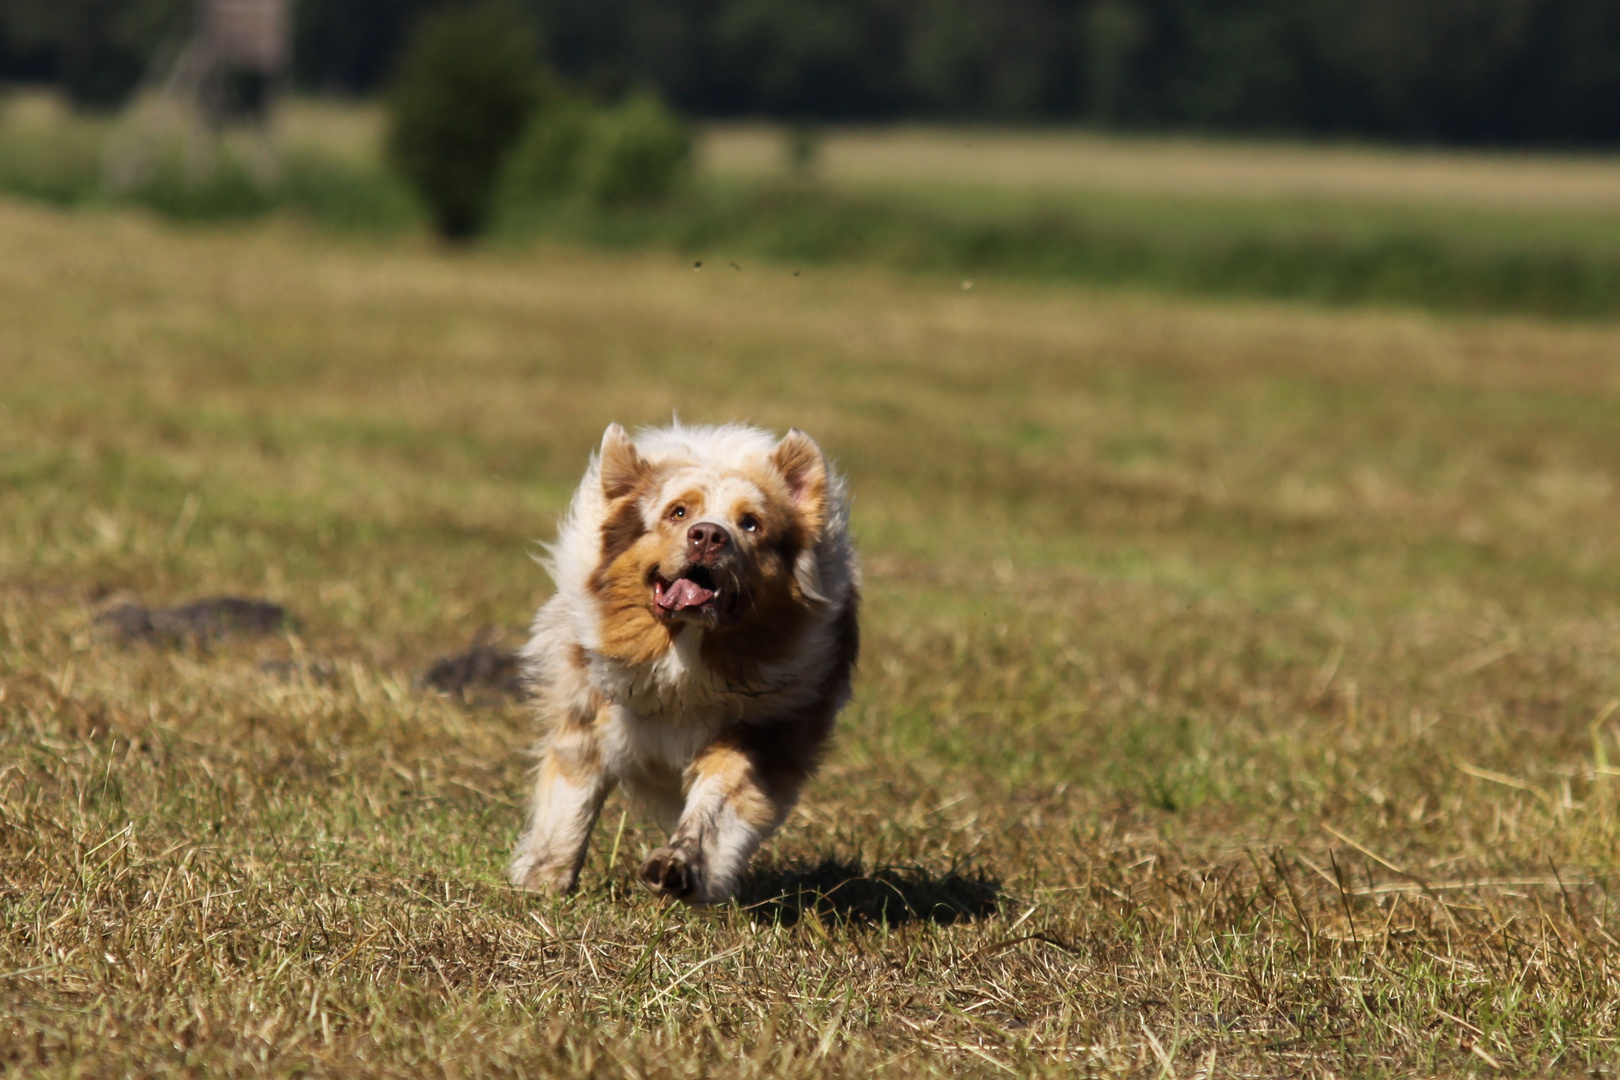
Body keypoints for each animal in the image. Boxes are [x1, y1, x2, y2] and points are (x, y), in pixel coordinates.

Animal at [508, 420, 861, 906]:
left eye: (751, 523)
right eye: (677, 513)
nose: (709, 535)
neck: (685, 653)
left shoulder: (764, 732)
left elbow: (714, 807)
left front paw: (678, 868)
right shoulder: (590, 712)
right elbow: (571, 803)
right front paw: (542, 882)